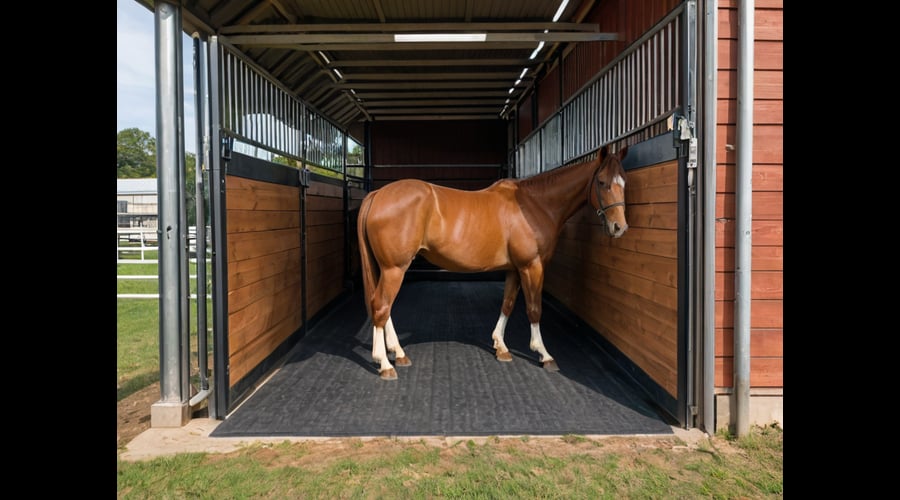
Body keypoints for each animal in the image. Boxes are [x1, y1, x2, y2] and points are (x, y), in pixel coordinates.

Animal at [356, 146, 629, 380]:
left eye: (623, 182)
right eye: (602, 182)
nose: (619, 227)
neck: (534, 204)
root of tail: (377, 194)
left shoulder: (514, 270)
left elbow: (507, 304)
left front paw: (501, 346)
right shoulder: (532, 266)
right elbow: (534, 308)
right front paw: (544, 354)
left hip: (387, 269)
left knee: (384, 308)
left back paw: (398, 353)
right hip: (395, 269)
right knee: (381, 306)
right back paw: (385, 363)